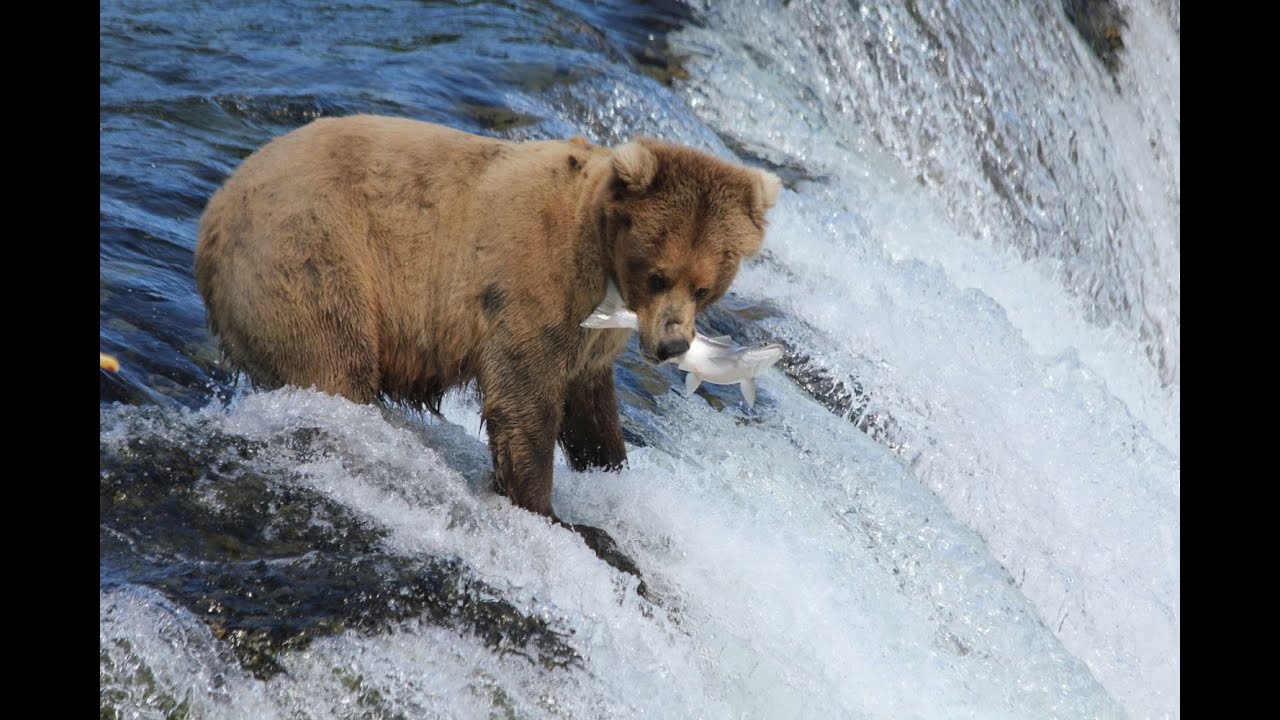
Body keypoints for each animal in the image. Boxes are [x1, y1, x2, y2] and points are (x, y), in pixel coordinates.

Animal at [195, 114, 780, 576]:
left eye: (705, 285)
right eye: (659, 274)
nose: (671, 344)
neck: (607, 267)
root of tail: (213, 215)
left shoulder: (594, 336)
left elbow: (589, 406)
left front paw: (608, 467)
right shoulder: (534, 281)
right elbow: (525, 395)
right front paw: (551, 512)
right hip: (311, 257)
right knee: (335, 363)